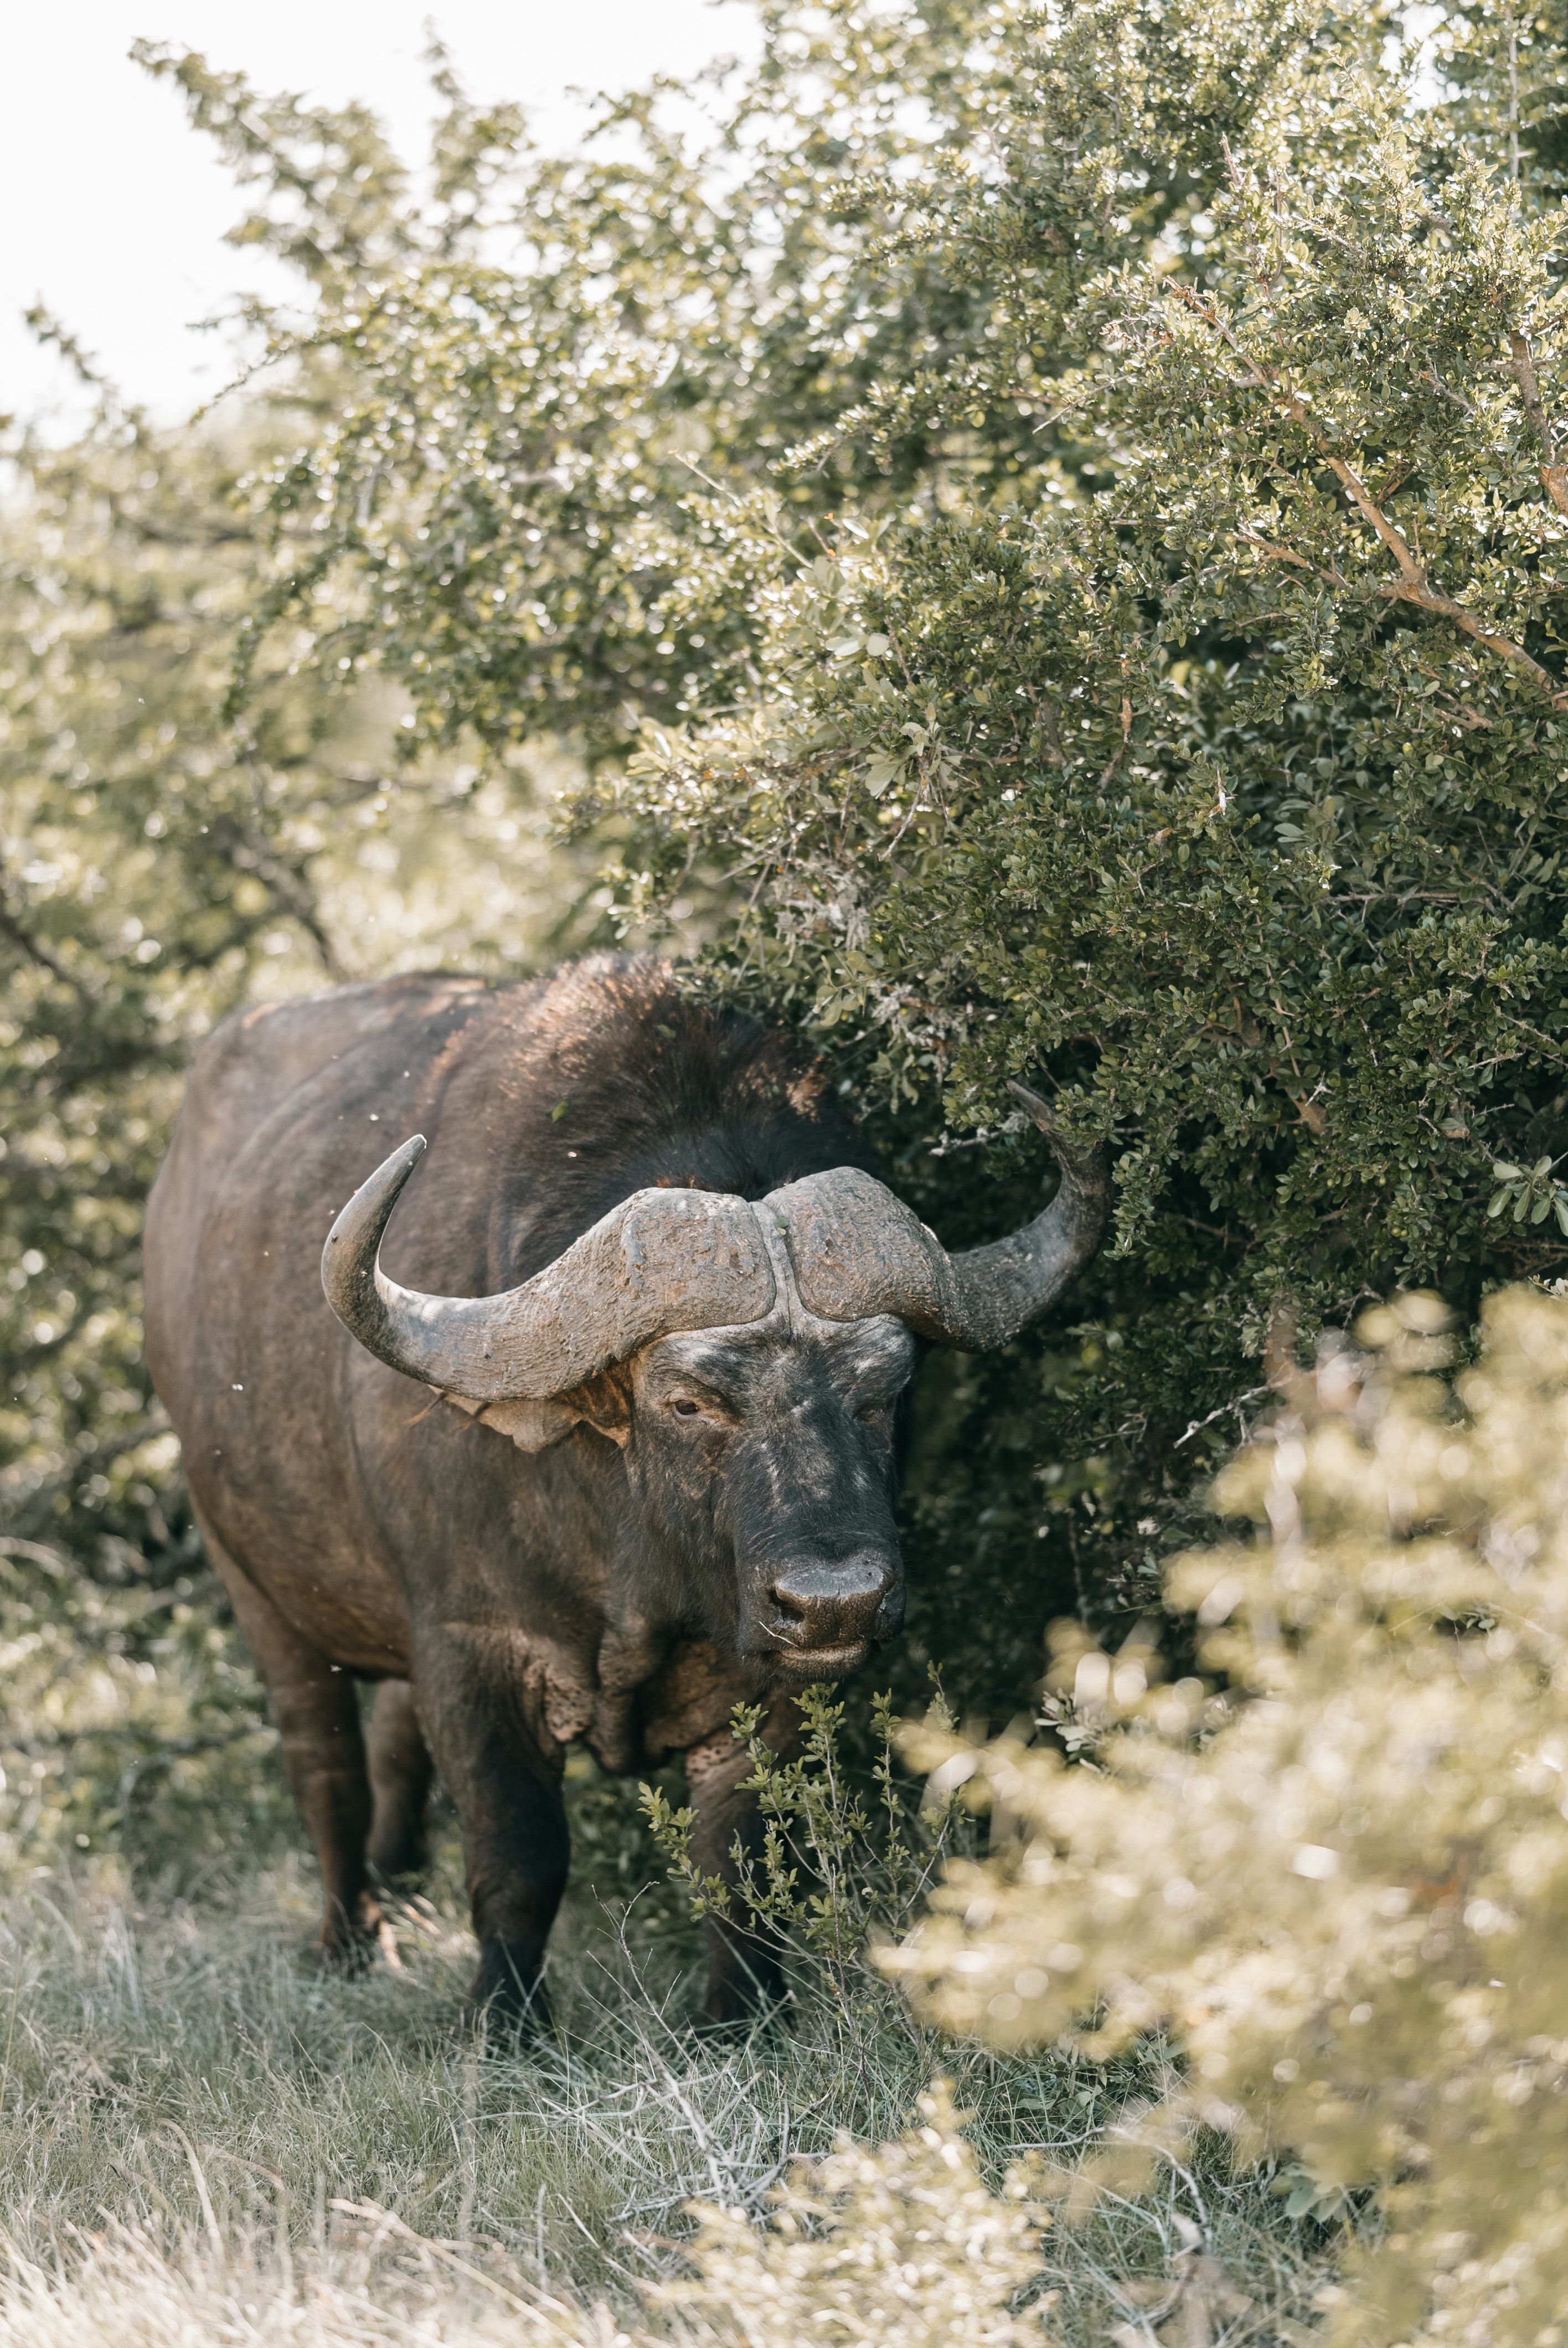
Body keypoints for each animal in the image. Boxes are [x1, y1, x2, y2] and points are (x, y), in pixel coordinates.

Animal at [143, 962, 1103, 2028]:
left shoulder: (772, 1674)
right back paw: (352, 1938)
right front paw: (504, 2025)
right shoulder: (470, 1645)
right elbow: (518, 1855)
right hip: (251, 1579)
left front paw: (741, 2018)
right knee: (325, 1764)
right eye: (686, 1401)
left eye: (885, 1388)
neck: (633, 1562)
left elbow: (743, 1858)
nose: (838, 1602)